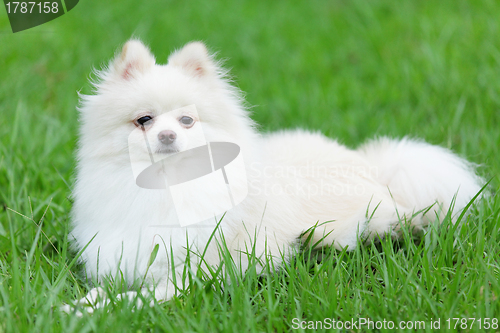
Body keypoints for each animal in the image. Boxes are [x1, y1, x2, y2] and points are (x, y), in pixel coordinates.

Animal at [65, 39, 480, 312]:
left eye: (186, 120)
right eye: (144, 121)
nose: (167, 135)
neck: (169, 187)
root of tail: (373, 167)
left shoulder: (194, 272)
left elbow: (139, 297)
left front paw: (108, 308)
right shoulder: (124, 258)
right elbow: (103, 290)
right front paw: (80, 305)